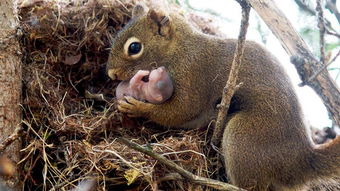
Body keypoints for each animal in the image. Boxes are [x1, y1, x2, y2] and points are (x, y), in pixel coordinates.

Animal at [107, 3, 340, 191]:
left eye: (134, 47)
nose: (111, 74)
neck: (179, 49)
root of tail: (301, 160)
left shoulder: (194, 73)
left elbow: (182, 110)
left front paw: (137, 107)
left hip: (244, 136)